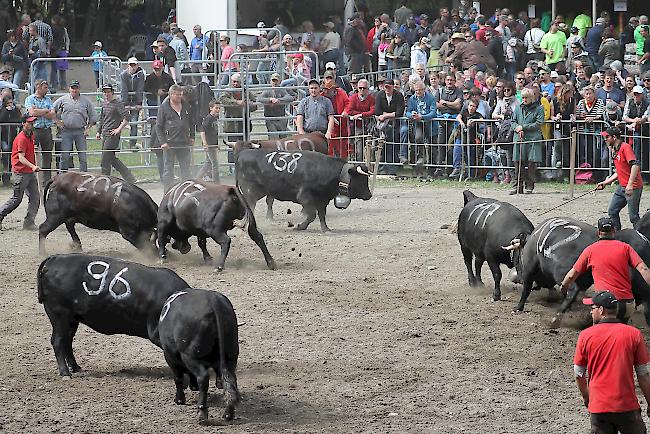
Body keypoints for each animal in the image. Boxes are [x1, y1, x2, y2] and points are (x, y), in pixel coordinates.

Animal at [37, 254, 189, 376]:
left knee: (67, 341)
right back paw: (65, 372)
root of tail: (54, 259)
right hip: (59, 315)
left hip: (72, 319)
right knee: (58, 341)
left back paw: (75, 367)